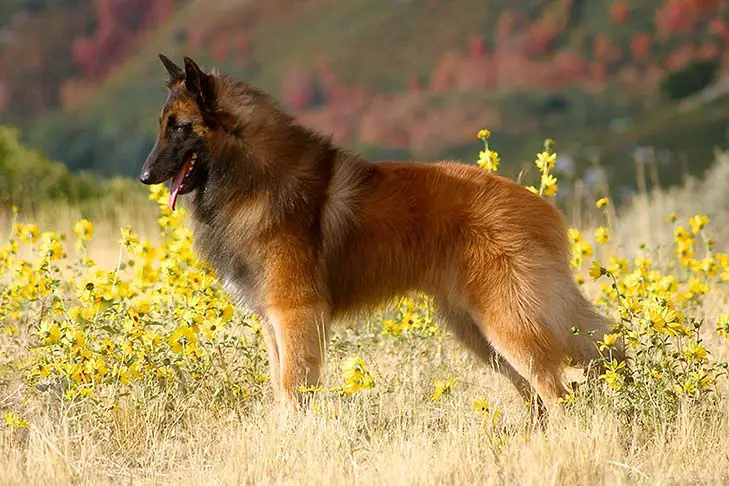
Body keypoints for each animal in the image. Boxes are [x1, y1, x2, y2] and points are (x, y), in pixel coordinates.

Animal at [138, 55, 620, 416]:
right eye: (163, 124)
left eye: (178, 126)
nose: (144, 177)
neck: (252, 173)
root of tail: (542, 207)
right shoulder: (271, 320)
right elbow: (280, 386)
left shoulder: (295, 314)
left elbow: (293, 387)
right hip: (481, 333)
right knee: (561, 377)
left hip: (510, 325)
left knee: (558, 390)